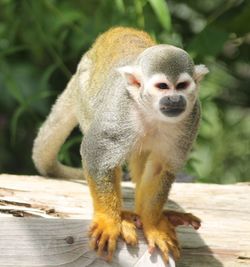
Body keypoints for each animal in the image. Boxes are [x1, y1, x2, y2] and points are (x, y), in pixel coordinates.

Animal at [33, 27, 209, 264]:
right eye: (162, 87)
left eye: (182, 86)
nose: (174, 100)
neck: (151, 113)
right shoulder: (120, 109)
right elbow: (97, 154)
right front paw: (109, 220)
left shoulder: (191, 117)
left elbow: (161, 168)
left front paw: (152, 223)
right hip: (85, 96)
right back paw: (123, 216)